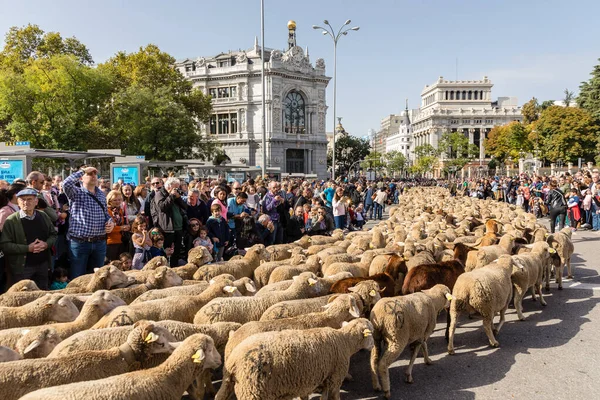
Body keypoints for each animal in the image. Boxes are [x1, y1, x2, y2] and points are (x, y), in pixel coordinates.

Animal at [216, 318, 376, 400]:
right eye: (371, 333)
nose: (373, 345)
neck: (345, 341)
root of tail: (233, 359)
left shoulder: (326, 376)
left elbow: (323, 396)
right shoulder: (335, 377)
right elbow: (334, 396)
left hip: (229, 382)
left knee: (220, 396)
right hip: (251, 391)